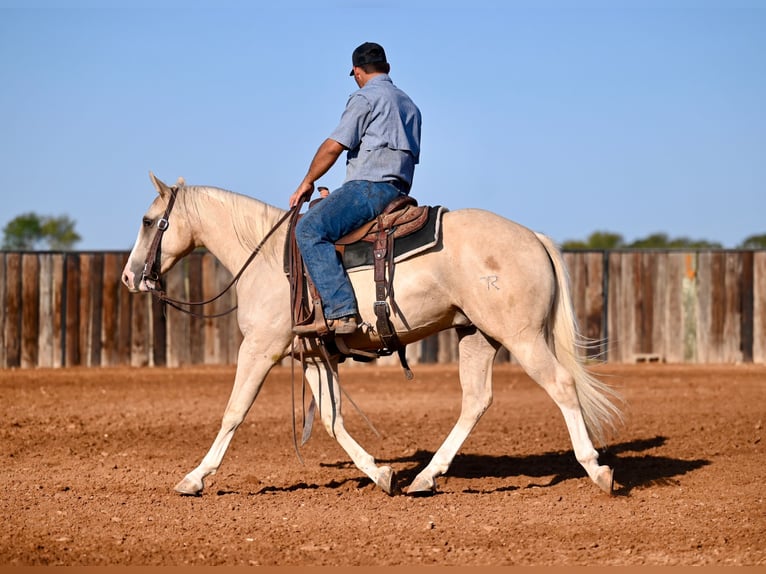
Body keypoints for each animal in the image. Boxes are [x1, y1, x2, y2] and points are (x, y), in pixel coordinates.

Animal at [121, 173, 624, 498]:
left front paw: (194, 478)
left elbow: (233, 412)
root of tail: (534, 237)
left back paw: (598, 472)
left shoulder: (260, 349)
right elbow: (331, 418)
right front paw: (380, 475)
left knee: (561, 385)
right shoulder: (312, 355)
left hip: (521, 337)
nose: (128, 277)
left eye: (147, 221)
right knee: (476, 401)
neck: (266, 258)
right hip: (477, 336)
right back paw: (425, 478)